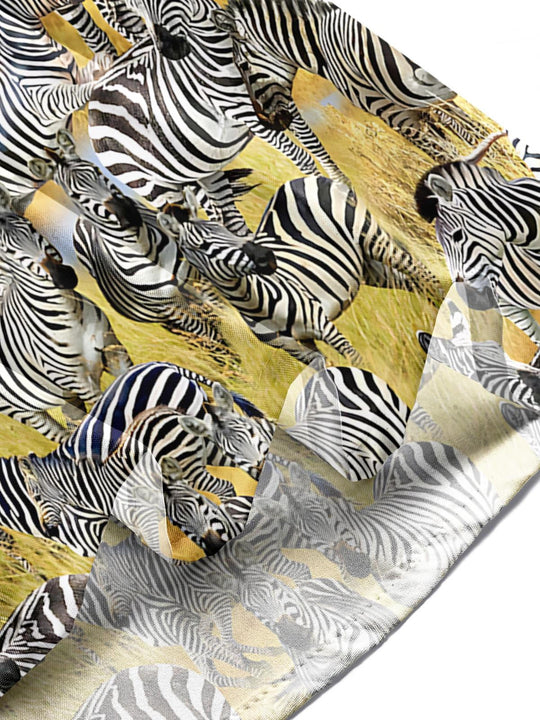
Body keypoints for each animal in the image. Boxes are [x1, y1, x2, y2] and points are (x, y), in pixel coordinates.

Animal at [0, 184, 131, 441]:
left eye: (32, 227)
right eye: (7, 252)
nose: (63, 277)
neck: (70, 315)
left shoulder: (113, 348)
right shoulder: (77, 381)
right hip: (21, 410)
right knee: (61, 434)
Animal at [29, 131, 228, 349]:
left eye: (97, 171)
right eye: (75, 195)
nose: (128, 214)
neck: (147, 250)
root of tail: (82, 222)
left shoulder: (200, 280)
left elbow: (225, 320)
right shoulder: (172, 308)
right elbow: (214, 338)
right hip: (165, 316)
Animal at [214, 0, 478, 164]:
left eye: (242, 65)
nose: (266, 120)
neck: (321, 49)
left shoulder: (388, 107)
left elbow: (440, 146)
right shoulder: (406, 103)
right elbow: (451, 130)